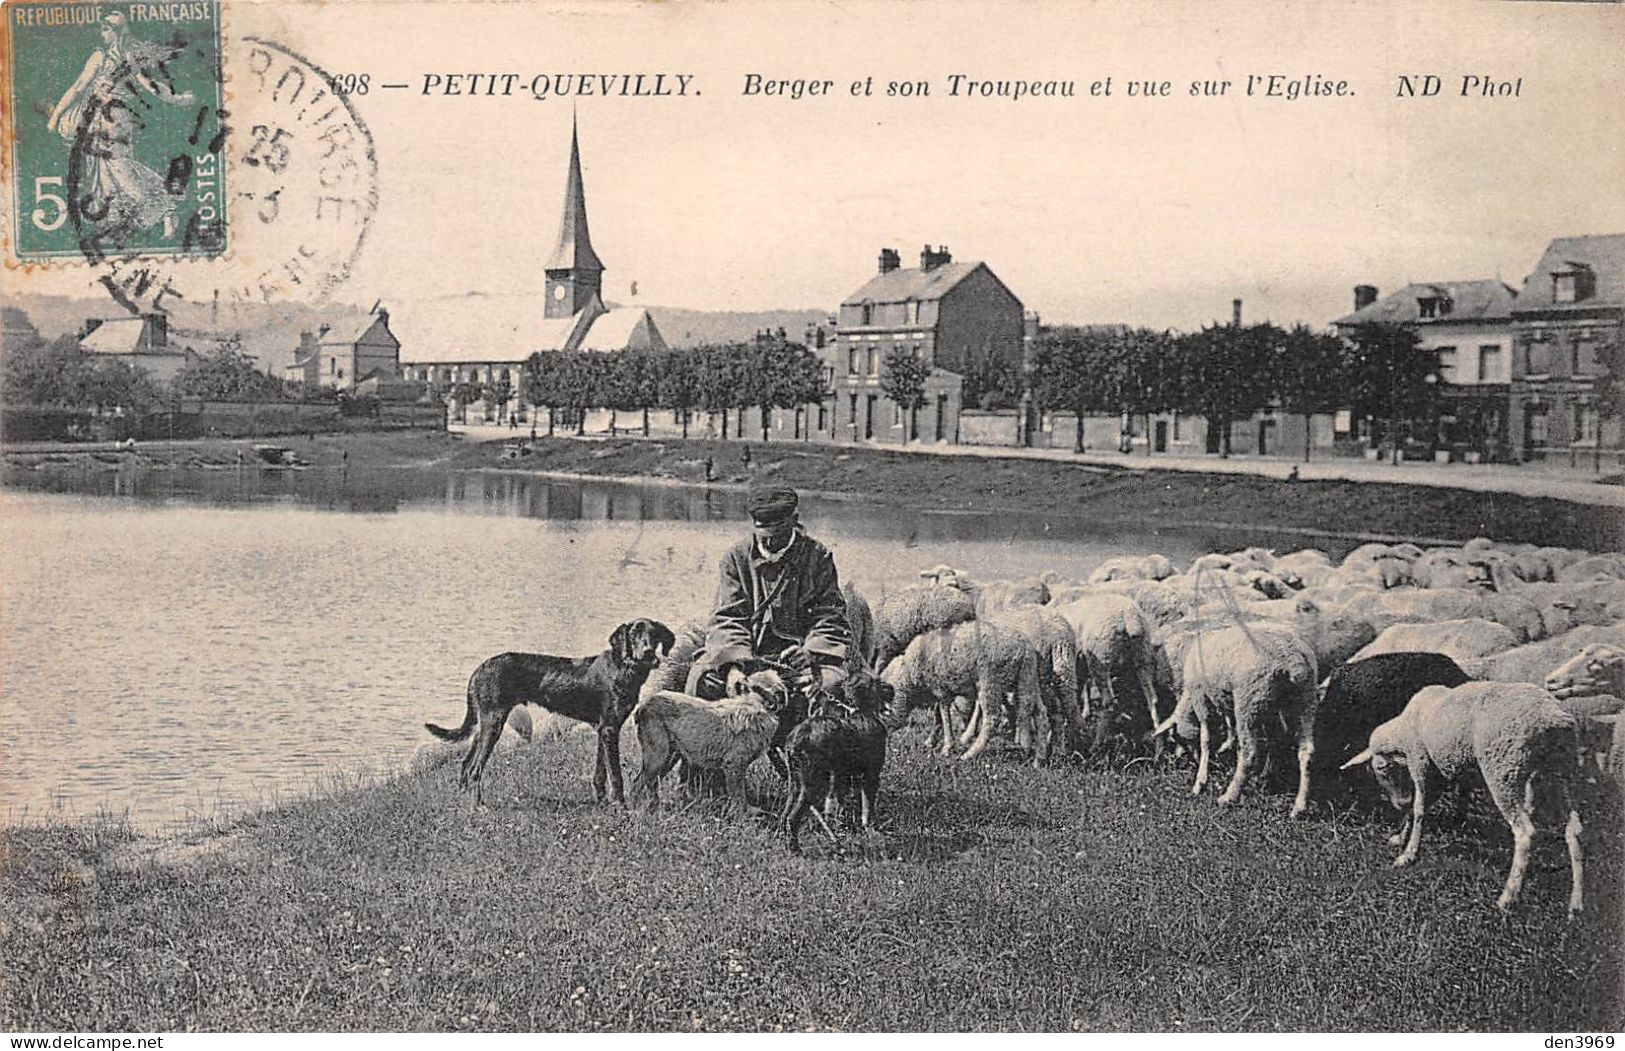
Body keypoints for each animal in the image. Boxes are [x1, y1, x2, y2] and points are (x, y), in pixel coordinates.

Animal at [429, 617, 676, 805]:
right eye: (634, 634)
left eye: (654, 635)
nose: (648, 653)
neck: (623, 667)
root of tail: (479, 669)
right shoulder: (609, 729)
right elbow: (615, 775)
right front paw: (620, 806)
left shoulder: (604, 729)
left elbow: (600, 773)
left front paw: (602, 802)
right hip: (493, 724)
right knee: (475, 769)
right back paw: (478, 806)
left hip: (485, 726)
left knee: (466, 765)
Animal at [630, 669, 789, 808]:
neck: (756, 703)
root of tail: (644, 704)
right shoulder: (734, 765)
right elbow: (739, 799)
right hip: (658, 757)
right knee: (637, 785)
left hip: (669, 757)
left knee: (650, 784)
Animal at [773, 675, 890, 857]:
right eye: (877, 682)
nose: (891, 689)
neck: (861, 712)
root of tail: (796, 739)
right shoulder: (871, 775)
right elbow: (868, 807)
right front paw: (870, 830)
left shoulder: (841, 777)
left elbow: (837, 804)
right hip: (813, 784)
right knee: (792, 818)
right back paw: (795, 849)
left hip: (795, 783)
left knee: (785, 814)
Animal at [1339, 682, 1579, 909]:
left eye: (1381, 769)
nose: (1398, 803)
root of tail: (1553, 718)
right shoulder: (1444, 770)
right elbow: (1428, 804)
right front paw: (1403, 836)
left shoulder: (1422, 762)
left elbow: (1419, 809)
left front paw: (1408, 854)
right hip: (1560, 770)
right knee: (1573, 830)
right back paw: (1576, 903)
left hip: (1504, 768)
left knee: (1525, 832)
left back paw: (1508, 897)